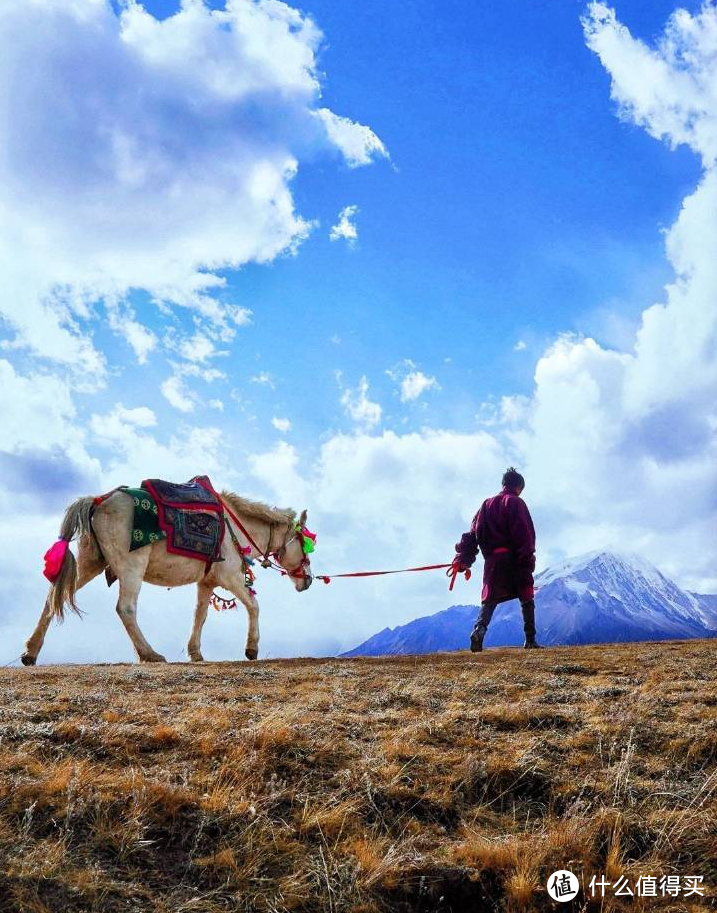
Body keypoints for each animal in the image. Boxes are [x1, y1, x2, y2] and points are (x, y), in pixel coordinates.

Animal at [21, 492, 312, 664]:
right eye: (305, 543)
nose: (308, 579)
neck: (237, 527)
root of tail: (98, 501)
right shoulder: (230, 577)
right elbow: (253, 605)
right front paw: (251, 649)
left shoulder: (207, 582)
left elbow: (200, 615)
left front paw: (195, 652)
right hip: (131, 568)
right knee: (125, 608)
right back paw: (149, 654)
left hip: (90, 563)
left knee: (54, 597)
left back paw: (30, 653)